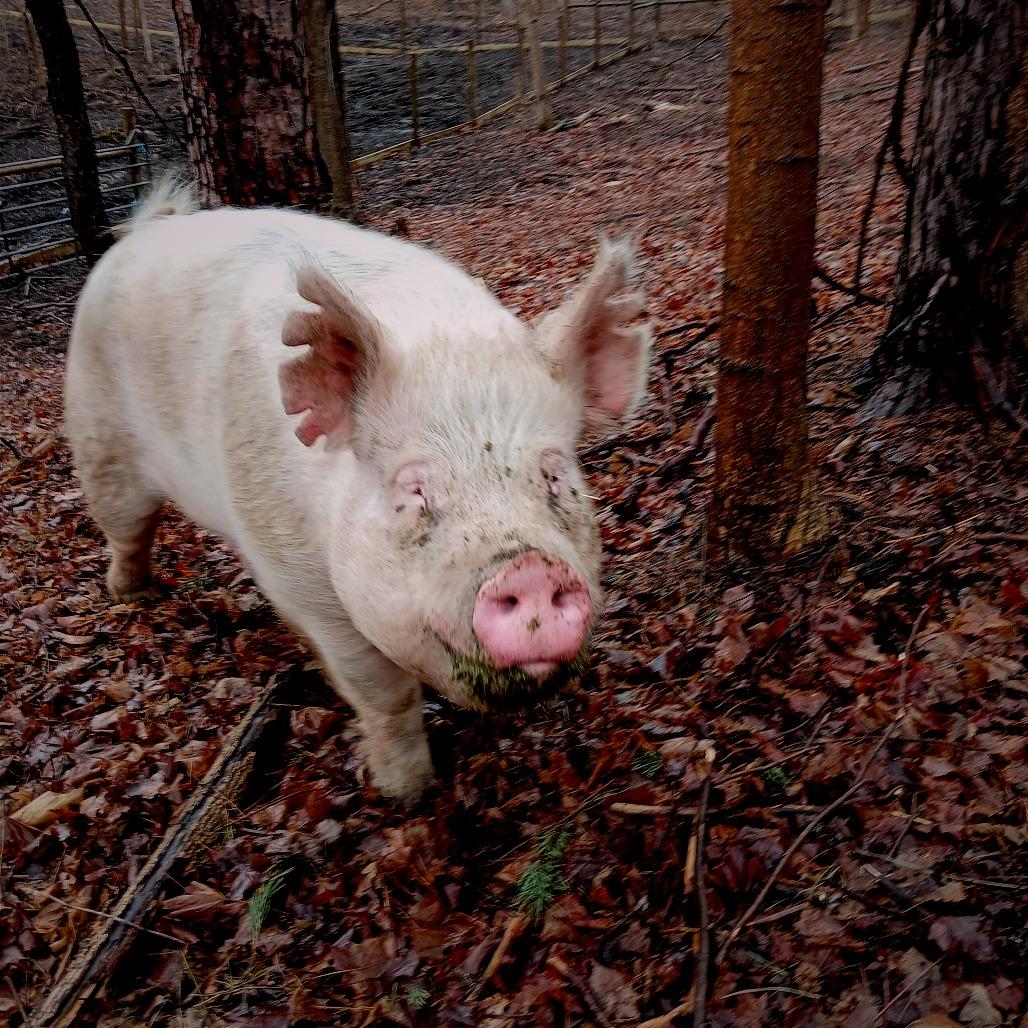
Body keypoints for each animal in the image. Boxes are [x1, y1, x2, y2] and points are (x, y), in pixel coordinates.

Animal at [64, 180, 651, 803]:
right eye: (413, 491)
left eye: (555, 477)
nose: (531, 569)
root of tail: (144, 229)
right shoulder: (305, 585)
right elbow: (383, 694)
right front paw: (404, 792)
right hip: (99, 441)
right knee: (127, 528)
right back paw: (132, 595)